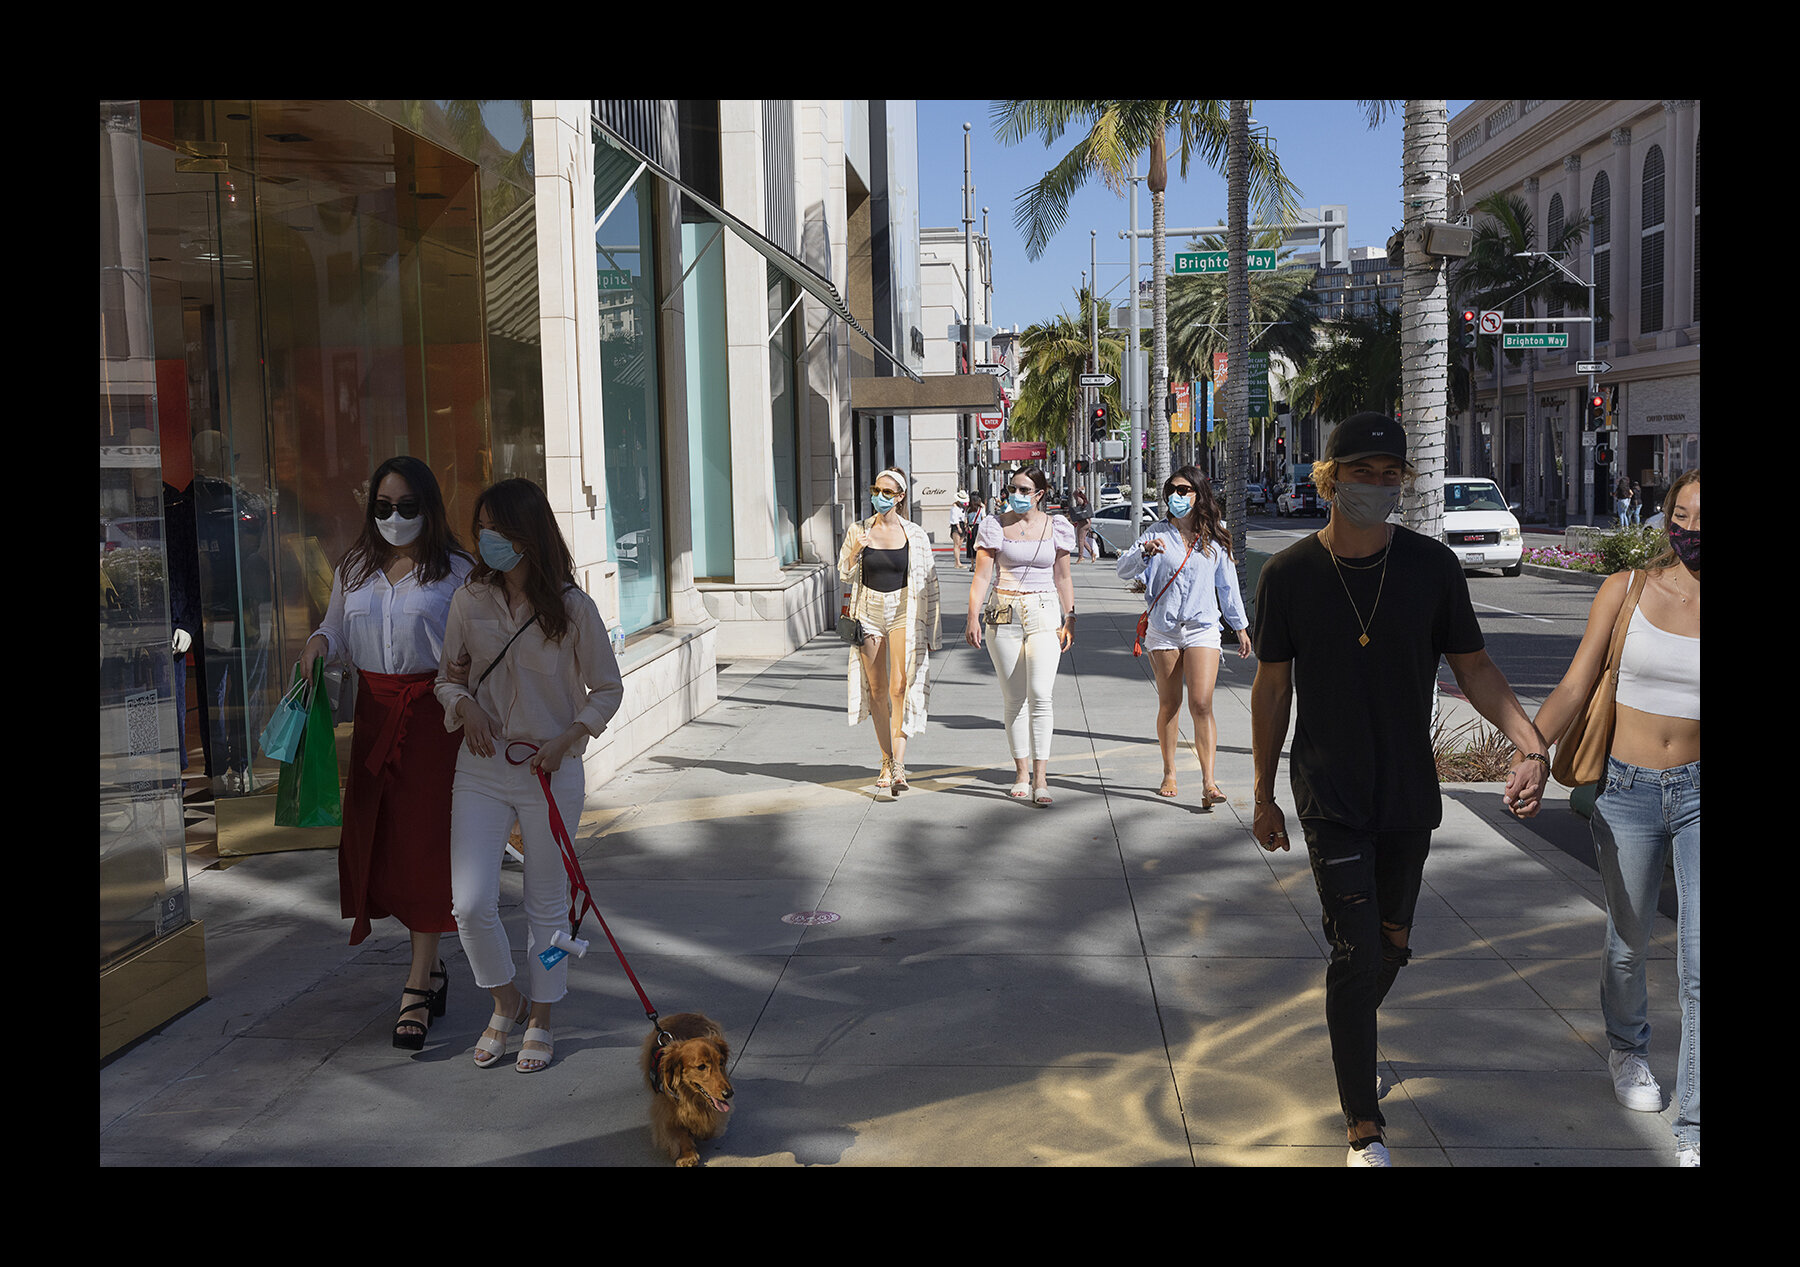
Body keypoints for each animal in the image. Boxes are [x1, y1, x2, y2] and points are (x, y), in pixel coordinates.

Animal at [644, 1015, 734, 1166]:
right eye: (701, 1067)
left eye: (721, 1062)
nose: (729, 1093)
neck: (691, 1097)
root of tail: (681, 1014)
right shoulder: (665, 1114)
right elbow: (680, 1133)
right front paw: (687, 1156)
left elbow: (709, 1125)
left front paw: (700, 1130)